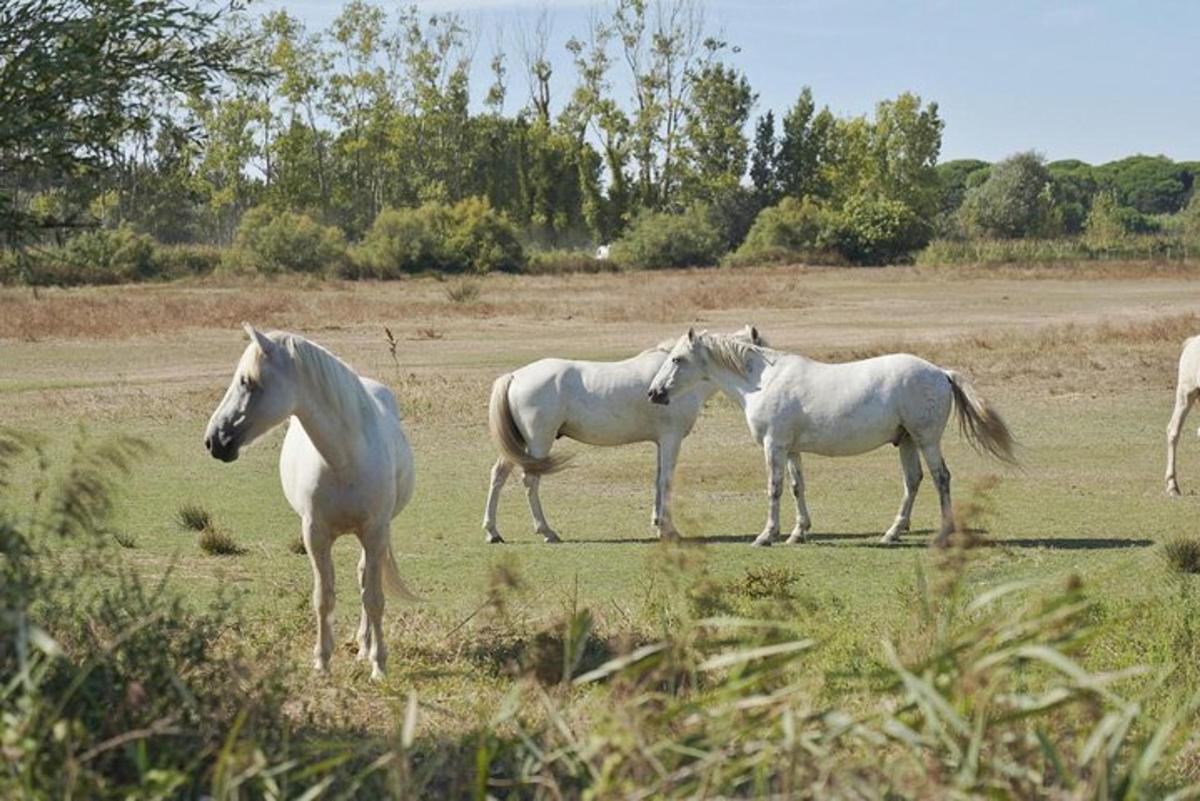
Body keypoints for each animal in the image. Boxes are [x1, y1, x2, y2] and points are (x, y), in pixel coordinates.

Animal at [202, 321, 417, 681]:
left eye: (247, 381)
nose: (213, 441)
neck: (344, 458)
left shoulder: (374, 532)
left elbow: (374, 598)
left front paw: (379, 665)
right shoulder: (315, 535)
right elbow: (323, 597)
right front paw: (322, 663)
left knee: (365, 580)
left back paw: (366, 647)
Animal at [482, 326, 763, 544]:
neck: (674, 383)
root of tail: (514, 376)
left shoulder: (661, 442)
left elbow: (658, 479)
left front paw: (658, 523)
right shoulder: (671, 439)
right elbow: (667, 480)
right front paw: (669, 530)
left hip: (518, 446)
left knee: (498, 475)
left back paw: (493, 532)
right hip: (538, 443)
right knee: (530, 481)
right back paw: (547, 531)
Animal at [648, 328, 1012, 546]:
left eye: (677, 359)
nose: (654, 393)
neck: (762, 381)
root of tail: (940, 372)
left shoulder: (773, 446)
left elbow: (774, 488)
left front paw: (767, 535)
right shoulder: (790, 449)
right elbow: (797, 487)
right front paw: (798, 533)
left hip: (926, 440)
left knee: (940, 478)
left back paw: (942, 534)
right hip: (907, 441)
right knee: (913, 481)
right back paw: (892, 532)